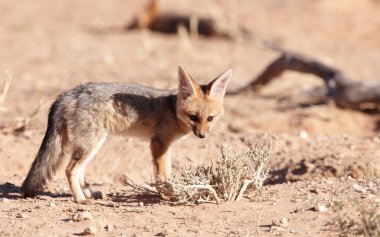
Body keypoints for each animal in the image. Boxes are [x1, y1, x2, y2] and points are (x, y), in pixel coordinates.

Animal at [22, 65, 233, 204]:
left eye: (210, 118)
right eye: (193, 117)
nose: (202, 136)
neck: (172, 109)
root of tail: (69, 93)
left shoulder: (166, 146)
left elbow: (167, 172)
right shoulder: (159, 143)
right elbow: (162, 176)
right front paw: (168, 195)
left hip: (91, 145)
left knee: (78, 170)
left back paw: (89, 193)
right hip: (93, 143)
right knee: (70, 169)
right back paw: (81, 199)